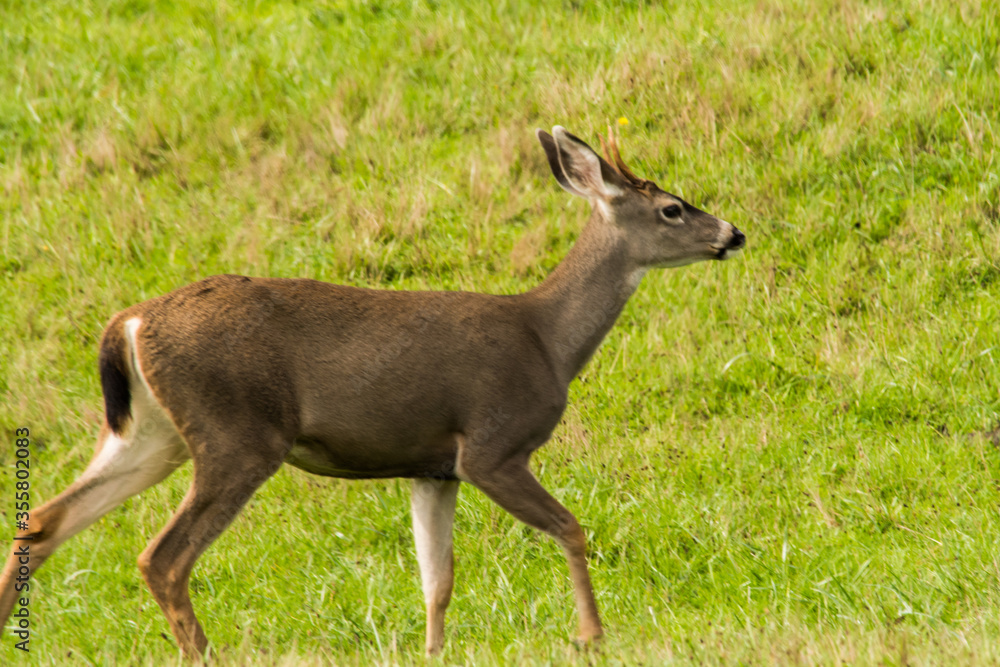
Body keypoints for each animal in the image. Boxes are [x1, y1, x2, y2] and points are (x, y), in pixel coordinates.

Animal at [0, 128, 744, 660]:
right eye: (673, 208)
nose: (733, 233)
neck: (548, 338)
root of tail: (128, 322)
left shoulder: (432, 466)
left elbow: (436, 578)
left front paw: (435, 650)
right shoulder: (492, 444)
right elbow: (569, 526)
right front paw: (592, 635)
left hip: (151, 432)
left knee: (43, 520)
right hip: (237, 431)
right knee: (162, 556)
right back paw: (205, 652)